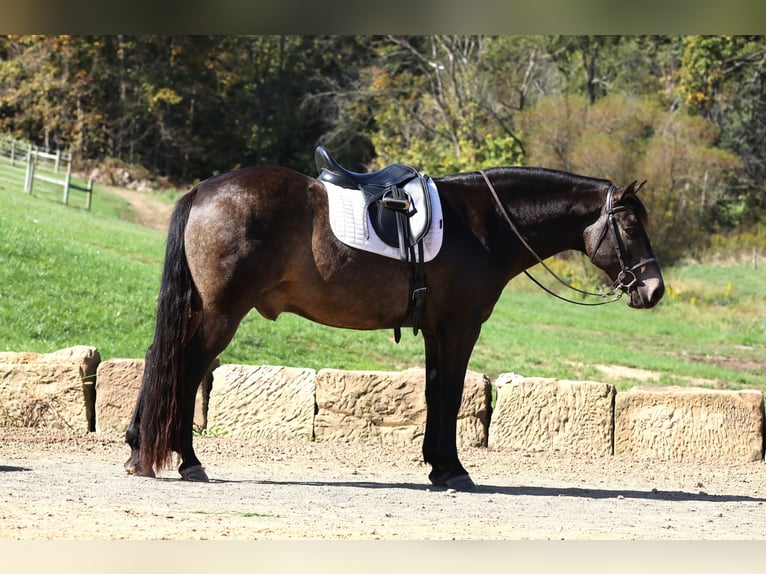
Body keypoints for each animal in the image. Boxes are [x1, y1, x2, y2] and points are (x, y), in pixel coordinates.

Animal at [124, 153, 664, 496]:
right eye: (630, 225)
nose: (655, 289)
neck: (481, 224)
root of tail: (203, 191)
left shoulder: (438, 331)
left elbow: (434, 393)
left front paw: (438, 466)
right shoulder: (459, 328)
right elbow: (450, 395)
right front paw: (453, 470)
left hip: (201, 309)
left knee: (159, 358)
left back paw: (136, 448)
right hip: (222, 314)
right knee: (186, 369)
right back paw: (188, 460)